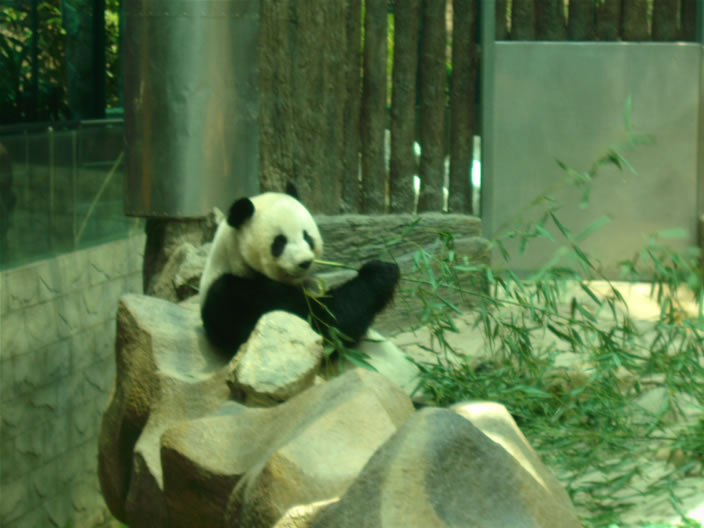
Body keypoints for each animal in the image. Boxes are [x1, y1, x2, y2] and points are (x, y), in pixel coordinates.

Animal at [199, 183, 400, 355]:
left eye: (307, 236)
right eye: (279, 242)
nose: (304, 262)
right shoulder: (236, 294)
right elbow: (321, 324)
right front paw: (381, 273)